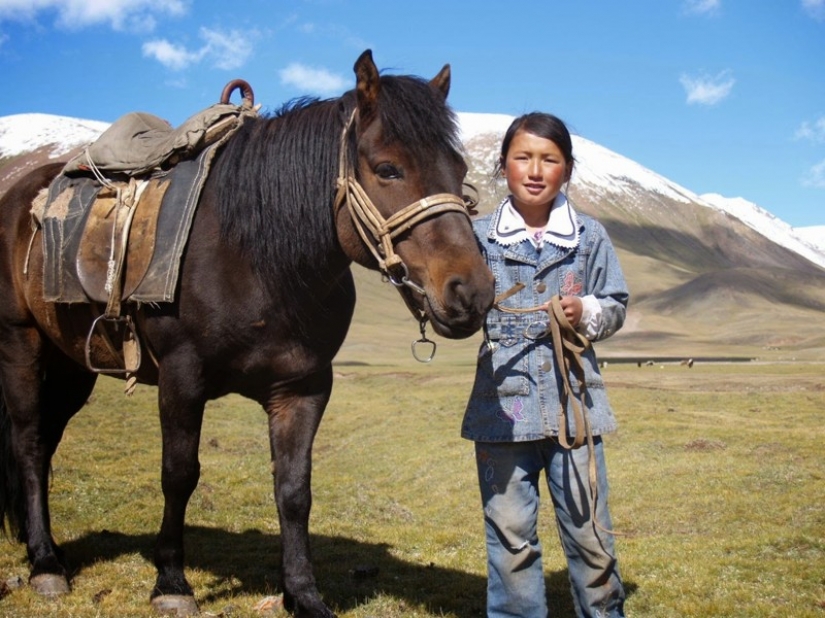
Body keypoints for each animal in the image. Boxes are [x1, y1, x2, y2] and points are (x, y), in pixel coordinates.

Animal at [0, 51, 492, 616]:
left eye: (460, 171)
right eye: (388, 168)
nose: (473, 291)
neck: (259, 259)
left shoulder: (303, 388)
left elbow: (294, 489)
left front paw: (302, 593)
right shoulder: (182, 377)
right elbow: (179, 474)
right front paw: (171, 582)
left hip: (72, 366)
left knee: (47, 441)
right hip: (21, 345)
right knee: (30, 443)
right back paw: (46, 564)